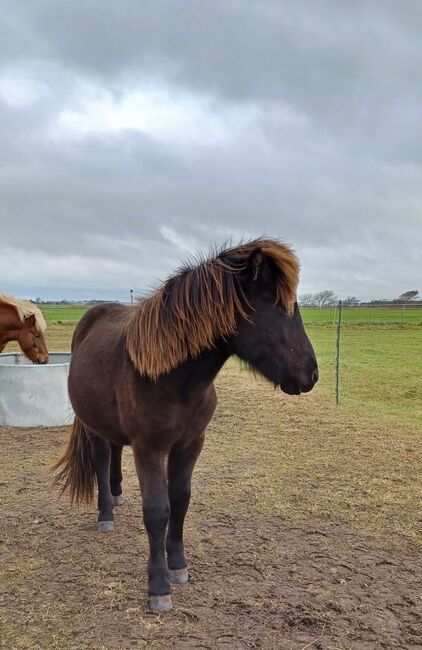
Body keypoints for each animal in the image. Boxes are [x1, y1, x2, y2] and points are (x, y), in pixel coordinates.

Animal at [53, 237, 316, 608]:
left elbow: (180, 499)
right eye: (278, 307)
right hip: (92, 427)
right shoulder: (149, 449)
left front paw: (177, 565)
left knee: (115, 453)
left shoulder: (191, 444)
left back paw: (117, 496)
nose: (311, 374)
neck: (171, 379)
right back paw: (106, 514)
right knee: (101, 460)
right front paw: (159, 586)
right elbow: (157, 510)